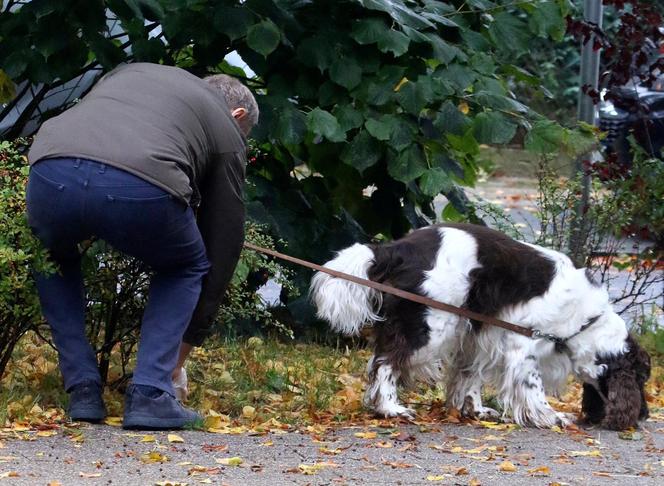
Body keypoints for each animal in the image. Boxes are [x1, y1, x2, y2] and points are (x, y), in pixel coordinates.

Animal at [310, 224, 648, 430]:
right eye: (641, 380)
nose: (644, 415)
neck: (587, 320)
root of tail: (397, 248)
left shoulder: (479, 336)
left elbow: (469, 375)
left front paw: (474, 411)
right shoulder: (523, 343)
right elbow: (533, 387)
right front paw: (550, 416)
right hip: (430, 327)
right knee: (385, 363)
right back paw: (391, 408)